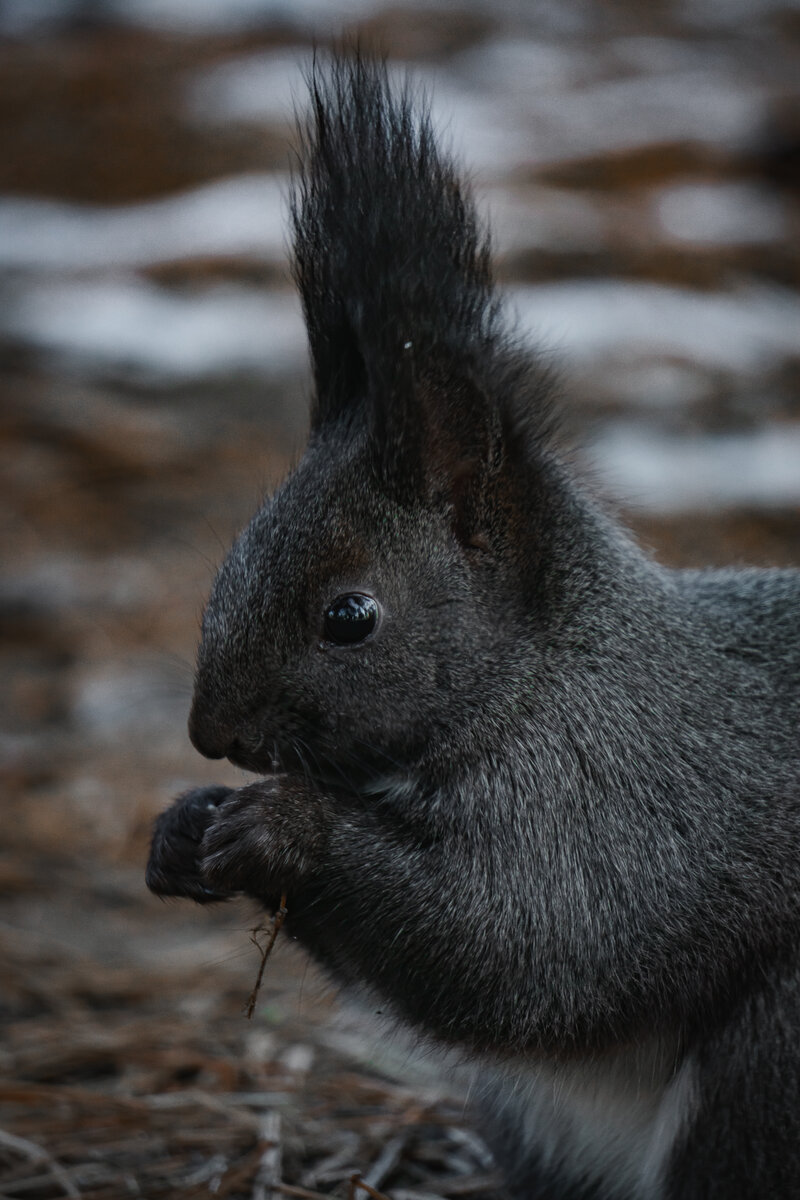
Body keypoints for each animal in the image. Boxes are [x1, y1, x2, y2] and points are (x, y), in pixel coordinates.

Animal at [146, 51, 800, 1195]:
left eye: (350, 616)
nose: (210, 735)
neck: (545, 679)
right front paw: (183, 825)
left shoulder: (622, 811)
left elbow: (522, 953)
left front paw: (287, 827)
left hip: (776, 1060)